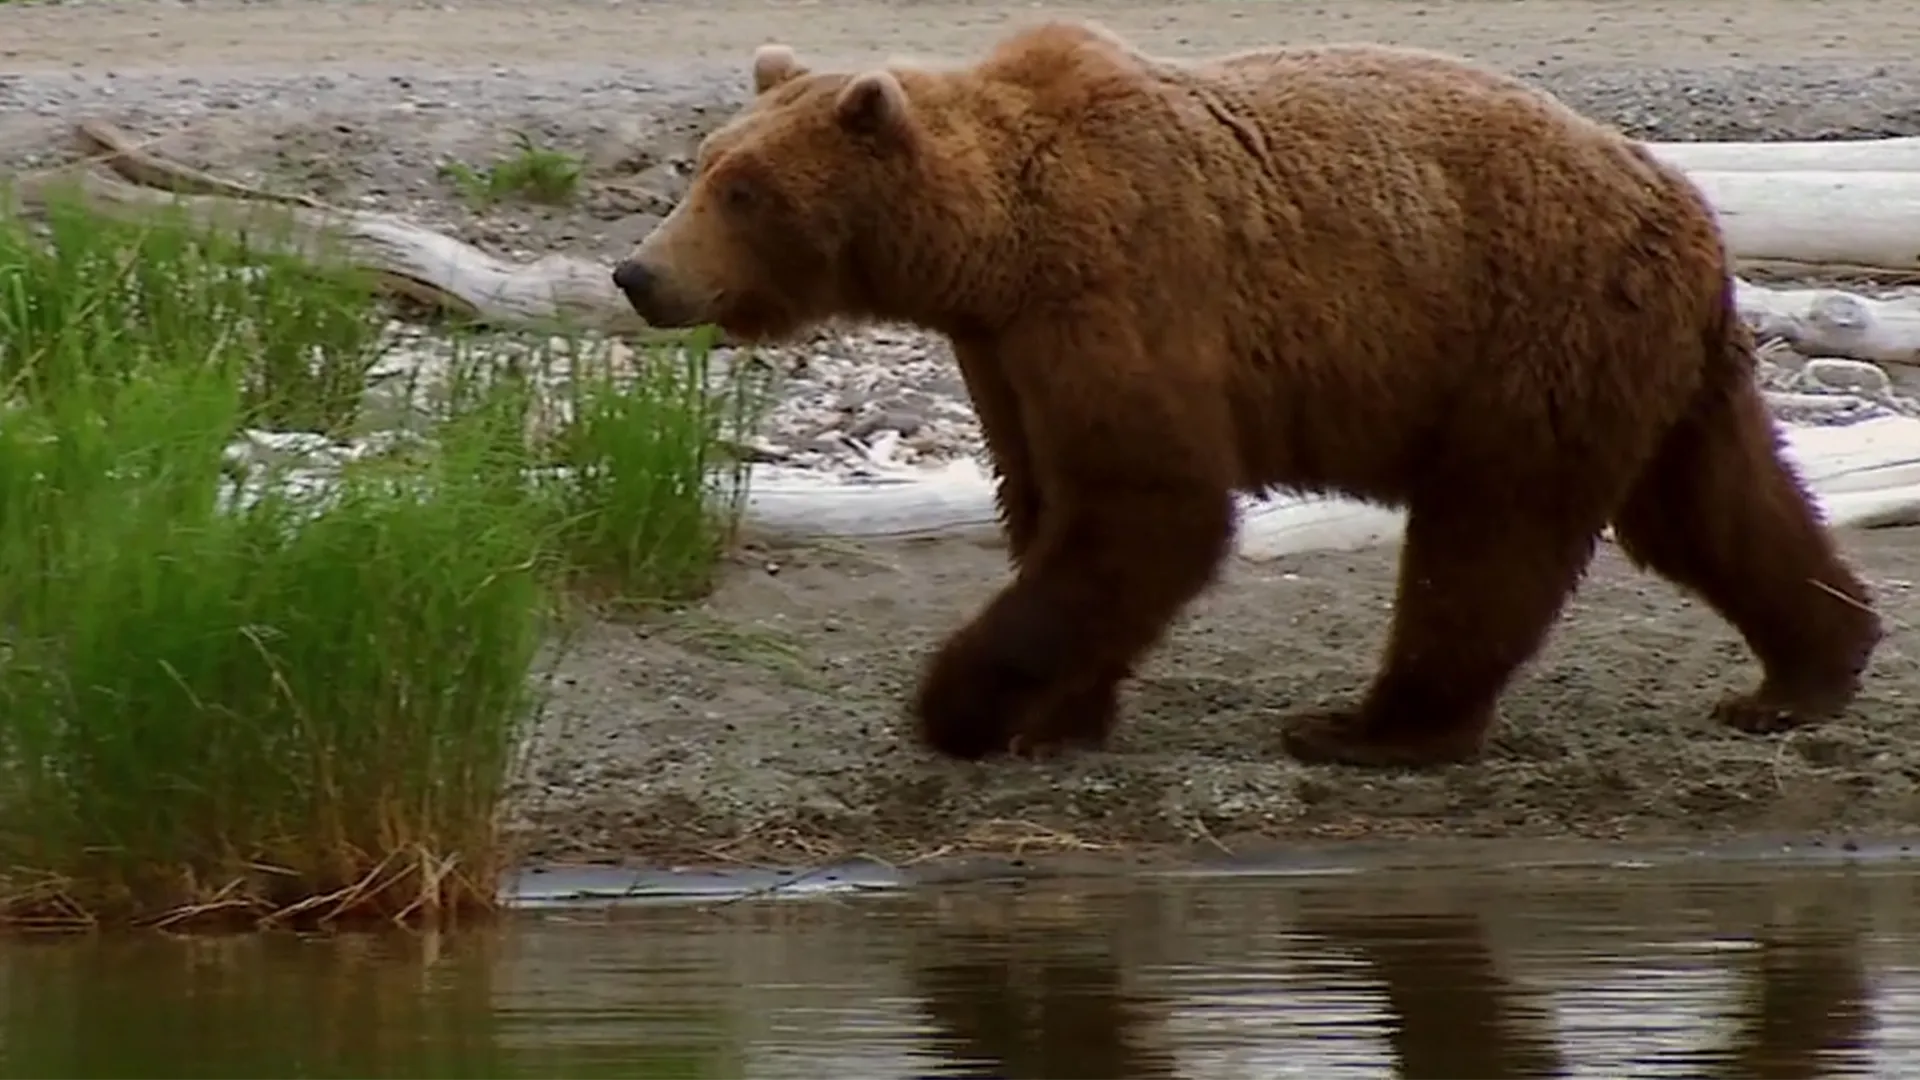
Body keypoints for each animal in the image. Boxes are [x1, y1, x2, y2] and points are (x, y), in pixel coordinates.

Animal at [610, 19, 1884, 770]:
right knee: (1712, 504)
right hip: (1651, 356)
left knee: (1491, 535)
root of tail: (1686, 203)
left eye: (744, 190)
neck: (994, 248)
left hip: (1534, 328)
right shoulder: (1009, 353)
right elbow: (1052, 503)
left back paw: (1371, 726)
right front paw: (1061, 711)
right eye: (706, 168)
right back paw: (1805, 672)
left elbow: (1148, 507)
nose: (640, 273)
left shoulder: (1120, 290)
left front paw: (964, 707)